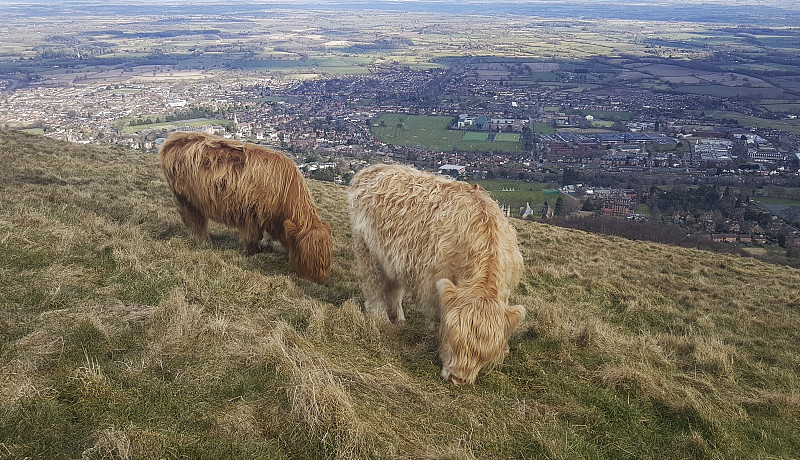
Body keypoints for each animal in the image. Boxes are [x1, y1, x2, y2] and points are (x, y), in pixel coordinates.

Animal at [159, 131, 332, 284]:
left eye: (326, 262)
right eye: (304, 258)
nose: (315, 281)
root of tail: (176, 137)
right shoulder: (251, 216)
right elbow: (253, 237)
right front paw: (253, 252)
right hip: (185, 199)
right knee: (194, 222)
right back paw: (203, 241)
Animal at [348, 164, 524, 382]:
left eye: (484, 356)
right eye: (453, 340)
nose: (458, 379)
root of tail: (373, 168)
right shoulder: (434, 281)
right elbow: (438, 314)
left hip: (393, 259)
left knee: (395, 289)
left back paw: (399, 318)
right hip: (368, 251)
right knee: (374, 286)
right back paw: (381, 319)